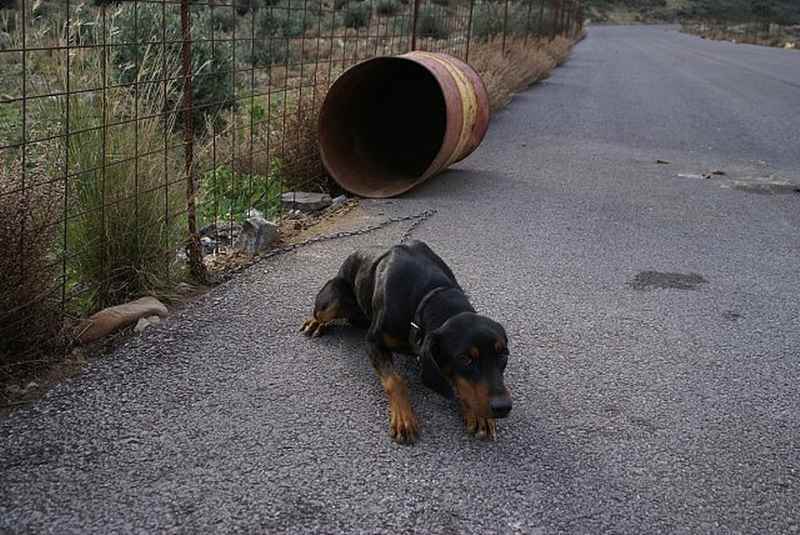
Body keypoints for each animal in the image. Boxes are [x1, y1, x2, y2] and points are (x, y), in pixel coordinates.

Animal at [300, 241, 512, 446]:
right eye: (465, 359)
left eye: (503, 354)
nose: (503, 407)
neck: (430, 295)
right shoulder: (373, 342)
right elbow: (395, 380)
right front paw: (403, 419)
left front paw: (478, 415)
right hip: (334, 297)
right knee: (321, 312)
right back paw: (315, 322)